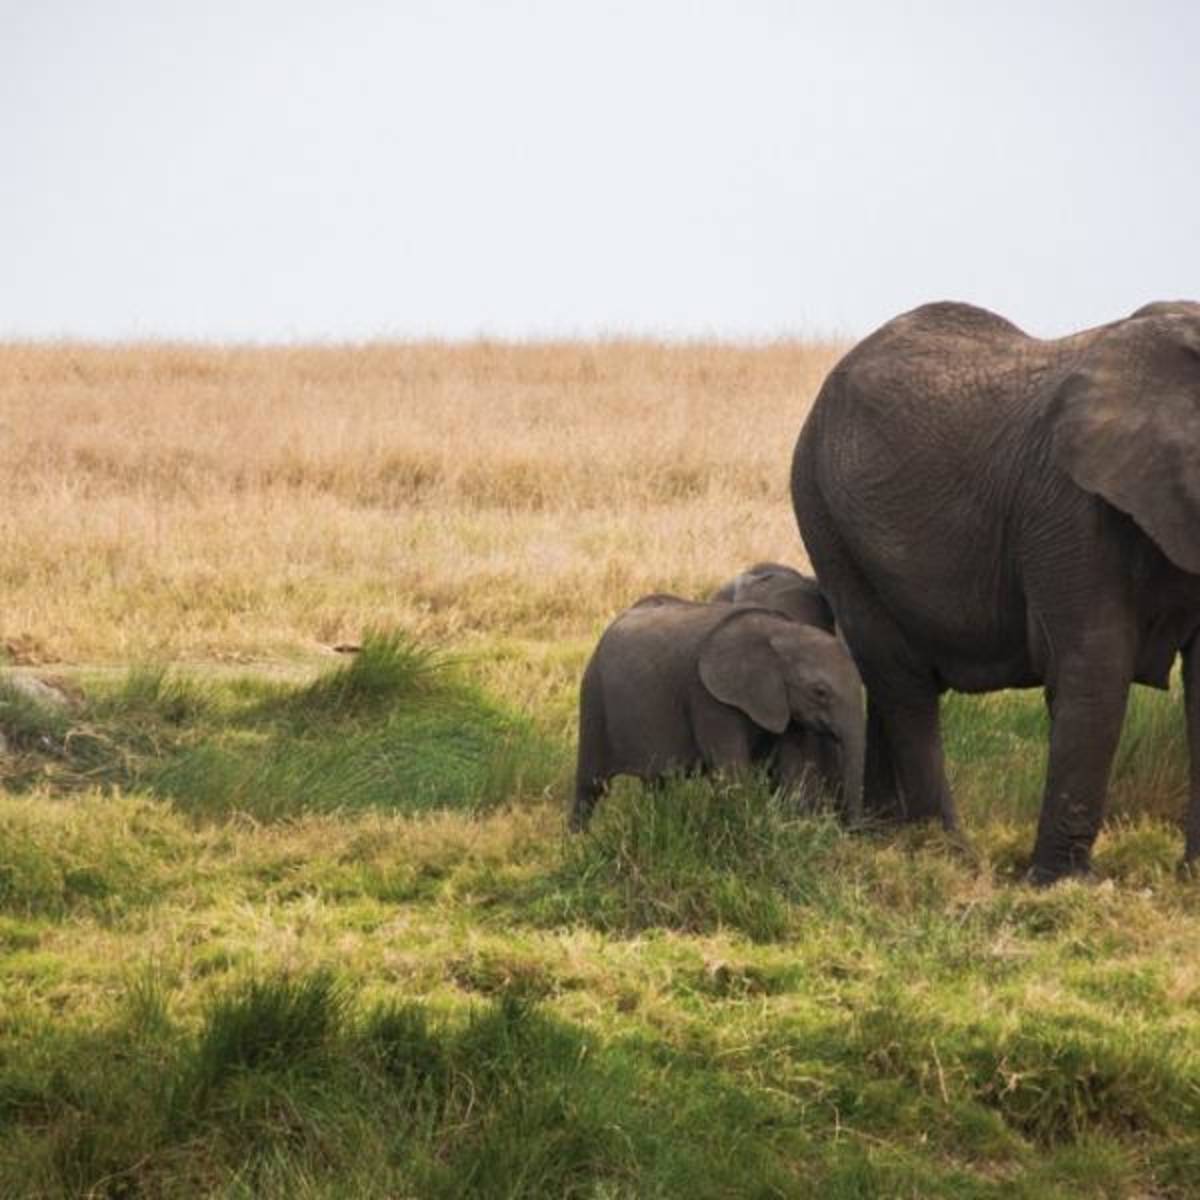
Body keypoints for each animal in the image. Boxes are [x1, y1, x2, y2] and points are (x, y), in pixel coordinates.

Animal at [571, 594, 864, 831]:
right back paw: (580, 840)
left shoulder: (785, 704)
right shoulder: (708, 696)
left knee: (658, 782)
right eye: (820, 692)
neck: (779, 632)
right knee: (591, 785)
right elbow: (731, 772)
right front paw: (748, 826)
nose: (849, 830)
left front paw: (796, 826)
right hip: (593, 694)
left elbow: (794, 766)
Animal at [790, 299, 1200, 883]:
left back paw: (882, 839)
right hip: (825, 516)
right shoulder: (1068, 507)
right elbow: (1093, 666)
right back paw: (946, 854)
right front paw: (1061, 886)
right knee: (903, 681)